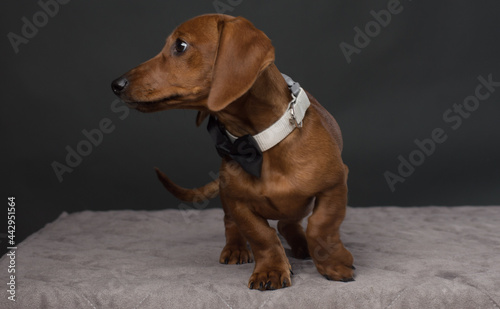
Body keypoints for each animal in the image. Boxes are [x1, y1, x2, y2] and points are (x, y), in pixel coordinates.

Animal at [112, 13, 356, 288]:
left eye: (181, 46)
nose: (115, 84)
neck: (258, 142)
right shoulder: (238, 202)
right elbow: (262, 236)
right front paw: (270, 270)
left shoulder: (335, 185)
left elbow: (322, 226)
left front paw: (334, 264)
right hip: (228, 197)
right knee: (236, 225)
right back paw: (236, 248)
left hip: (299, 205)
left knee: (288, 224)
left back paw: (302, 245)